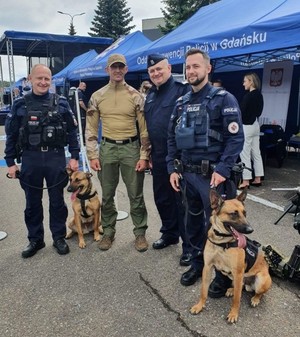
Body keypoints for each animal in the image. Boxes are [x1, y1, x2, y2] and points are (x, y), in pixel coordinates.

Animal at [191, 189, 274, 322]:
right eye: (233, 214)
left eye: (245, 213)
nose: (250, 230)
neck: (222, 242)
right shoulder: (207, 267)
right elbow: (203, 290)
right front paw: (199, 305)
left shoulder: (238, 272)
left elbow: (237, 299)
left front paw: (233, 314)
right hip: (234, 276)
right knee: (240, 286)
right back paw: (231, 289)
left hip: (260, 281)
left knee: (257, 292)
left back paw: (255, 299)